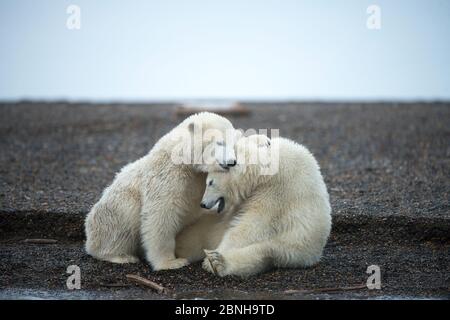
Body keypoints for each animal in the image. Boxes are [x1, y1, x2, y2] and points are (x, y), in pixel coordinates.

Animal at [84, 112, 239, 270]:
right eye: (220, 142)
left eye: (234, 145)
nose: (232, 162)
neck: (185, 159)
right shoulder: (168, 174)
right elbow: (161, 213)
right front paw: (171, 262)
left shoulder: (198, 182)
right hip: (116, 208)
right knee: (123, 222)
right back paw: (121, 256)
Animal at [178, 135, 332, 278]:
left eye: (210, 182)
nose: (203, 204)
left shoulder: (278, 192)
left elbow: (251, 226)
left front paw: (211, 258)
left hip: (294, 246)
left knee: (262, 253)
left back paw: (218, 262)